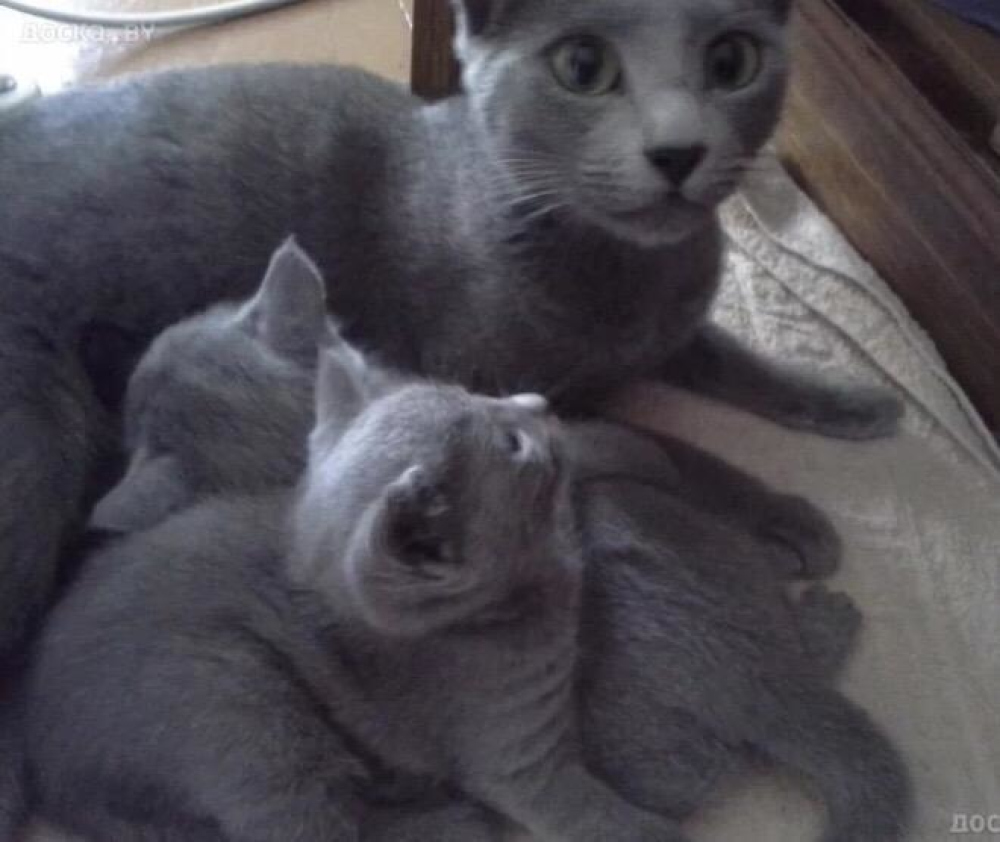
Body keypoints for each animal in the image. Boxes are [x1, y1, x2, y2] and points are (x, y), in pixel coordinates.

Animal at [0, 0, 903, 660]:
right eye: (584, 69)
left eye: (731, 63)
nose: (677, 152)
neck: (629, 276)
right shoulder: (493, 381)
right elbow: (679, 447)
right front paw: (783, 512)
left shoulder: (672, 332)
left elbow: (741, 361)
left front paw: (853, 400)